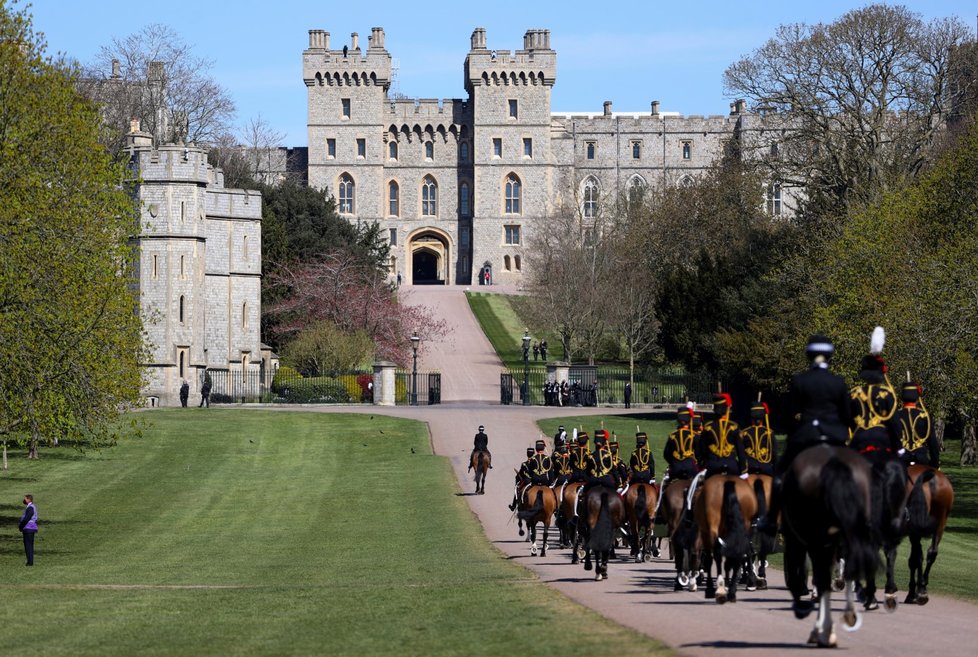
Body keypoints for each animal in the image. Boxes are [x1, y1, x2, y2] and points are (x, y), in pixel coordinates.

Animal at [900, 464, 952, 604]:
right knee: (931, 552)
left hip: (915, 531)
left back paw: (918, 592)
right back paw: (922, 588)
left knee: (917, 557)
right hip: (941, 524)